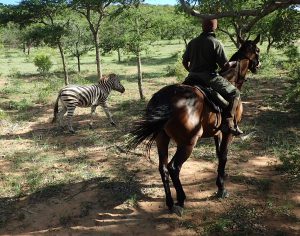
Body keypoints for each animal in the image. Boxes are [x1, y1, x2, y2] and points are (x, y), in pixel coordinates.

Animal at [126, 35, 260, 216]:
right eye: (257, 50)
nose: (258, 65)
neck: (230, 79)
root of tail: (166, 98)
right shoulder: (228, 133)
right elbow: (224, 156)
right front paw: (221, 188)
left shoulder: (217, 132)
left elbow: (219, 155)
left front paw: (220, 182)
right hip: (188, 143)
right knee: (174, 167)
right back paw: (181, 200)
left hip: (162, 139)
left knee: (163, 168)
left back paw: (170, 203)